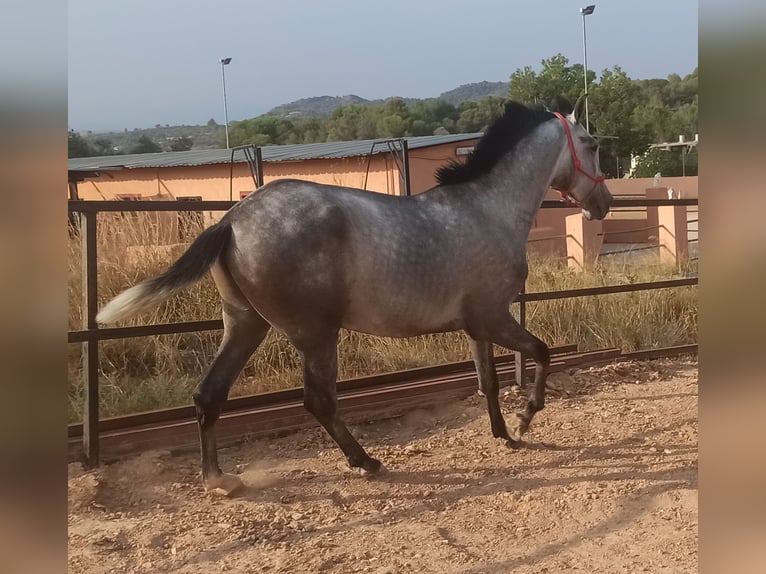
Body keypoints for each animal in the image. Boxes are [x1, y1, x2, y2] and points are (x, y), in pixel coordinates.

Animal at [97, 98, 612, 496]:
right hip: (315, 333)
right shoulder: (493, 317)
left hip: (244, 323)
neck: (487, 210)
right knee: (318, 401)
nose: (603, 205)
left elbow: (487, 382)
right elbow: (541, 354)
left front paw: (504, 435)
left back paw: (219, 480)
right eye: (591, 144)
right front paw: (526, 420)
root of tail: (232, 219)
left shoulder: (476, 325)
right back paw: (366, 462)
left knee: (210, 394)